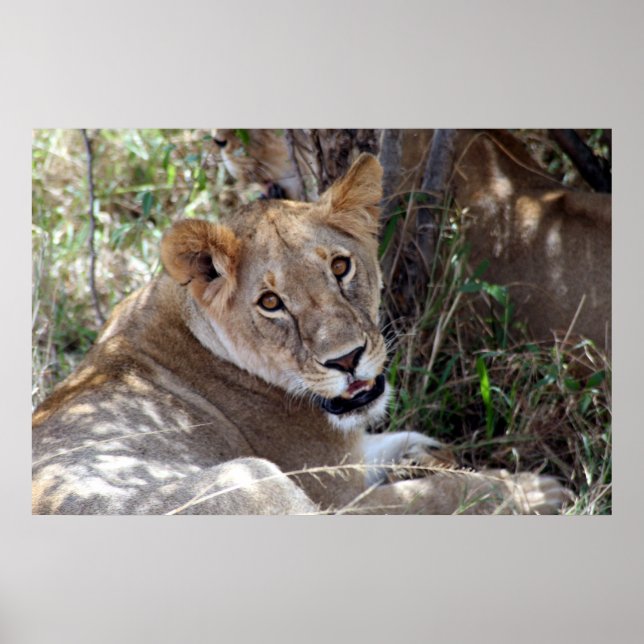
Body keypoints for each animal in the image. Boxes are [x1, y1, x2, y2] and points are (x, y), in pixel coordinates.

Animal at [32, 153, 569, 515]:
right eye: (271, 303)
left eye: (340, 266)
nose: (347, 359)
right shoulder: (336, 493)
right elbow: (438, 493)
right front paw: (528, 490)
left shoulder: (346, 455)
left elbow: (383, 441)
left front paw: (425, 451)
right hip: (250, 477)